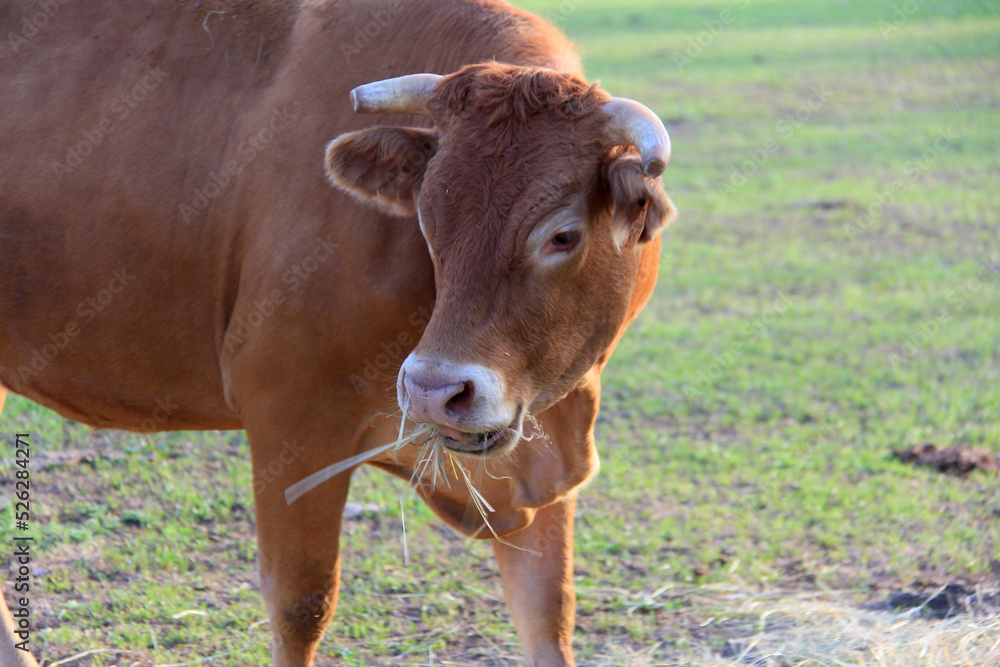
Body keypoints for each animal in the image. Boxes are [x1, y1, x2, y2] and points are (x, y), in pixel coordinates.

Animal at [0, 1, 676, 667]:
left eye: (563, 234)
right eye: (428, 220)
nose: (433, 392)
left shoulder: (544, 470)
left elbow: (549, 615)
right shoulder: (290, 419)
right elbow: (301, 605)